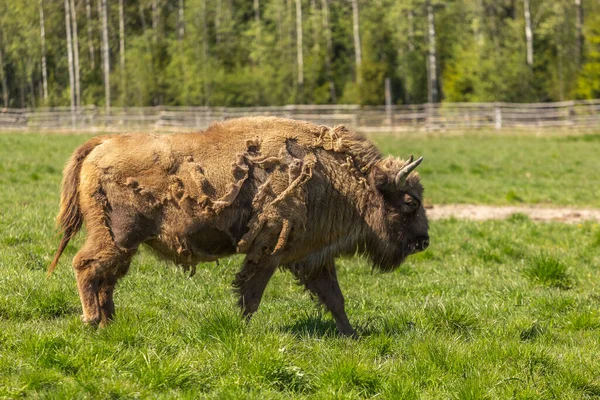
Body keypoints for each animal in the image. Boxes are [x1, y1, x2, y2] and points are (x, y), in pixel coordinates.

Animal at [49, 115, 428, 334]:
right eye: (410, 202)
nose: (424, 241)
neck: (334, 175)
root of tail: (102, 144)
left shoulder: (313, 257)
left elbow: (335, 298)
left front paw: (350, 335)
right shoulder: (269, 252)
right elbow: (251, 295)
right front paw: (243, 330)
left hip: (126, 244)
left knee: (106, 278)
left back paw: (108, 323)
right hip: (118, 236)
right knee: (86, 266)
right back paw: (92, 321)